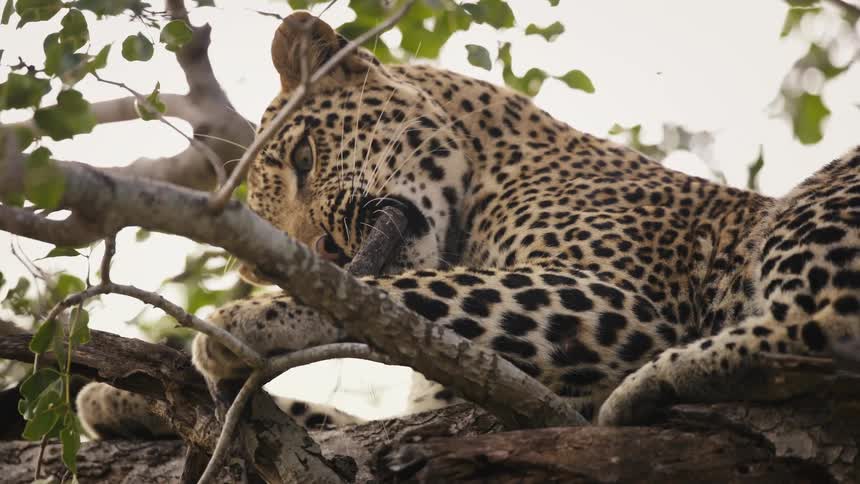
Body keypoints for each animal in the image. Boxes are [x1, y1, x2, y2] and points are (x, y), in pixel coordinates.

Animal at [77, 11, 860, 437]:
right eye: (281, 246)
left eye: (305, 156)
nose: (323, 251)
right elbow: (332, 417)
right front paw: (117, 397)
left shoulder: (620, 299)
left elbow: (410, 294)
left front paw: (245, 322)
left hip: (815, 206)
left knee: (822, 324)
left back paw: (657, 384)